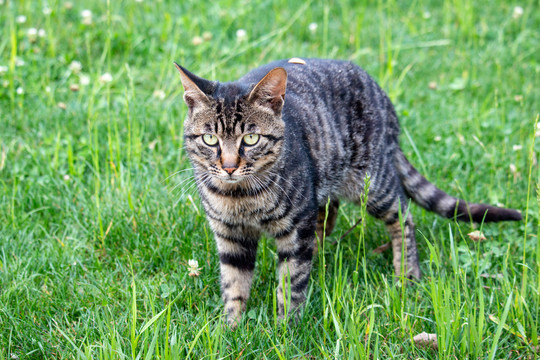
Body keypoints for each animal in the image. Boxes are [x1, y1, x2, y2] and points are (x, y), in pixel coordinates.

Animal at [173, 58, 520, 326]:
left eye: (251, 139)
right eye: (210, 140)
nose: (230, 166)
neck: (240, 197)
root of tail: (381, 95)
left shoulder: (295, 229)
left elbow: (291, 284)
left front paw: (284, 330)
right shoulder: (230, 234)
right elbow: (234, 283)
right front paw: (230, 328)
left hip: (373, 185)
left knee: (403, 217)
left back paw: (406, 275)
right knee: (329, 214)